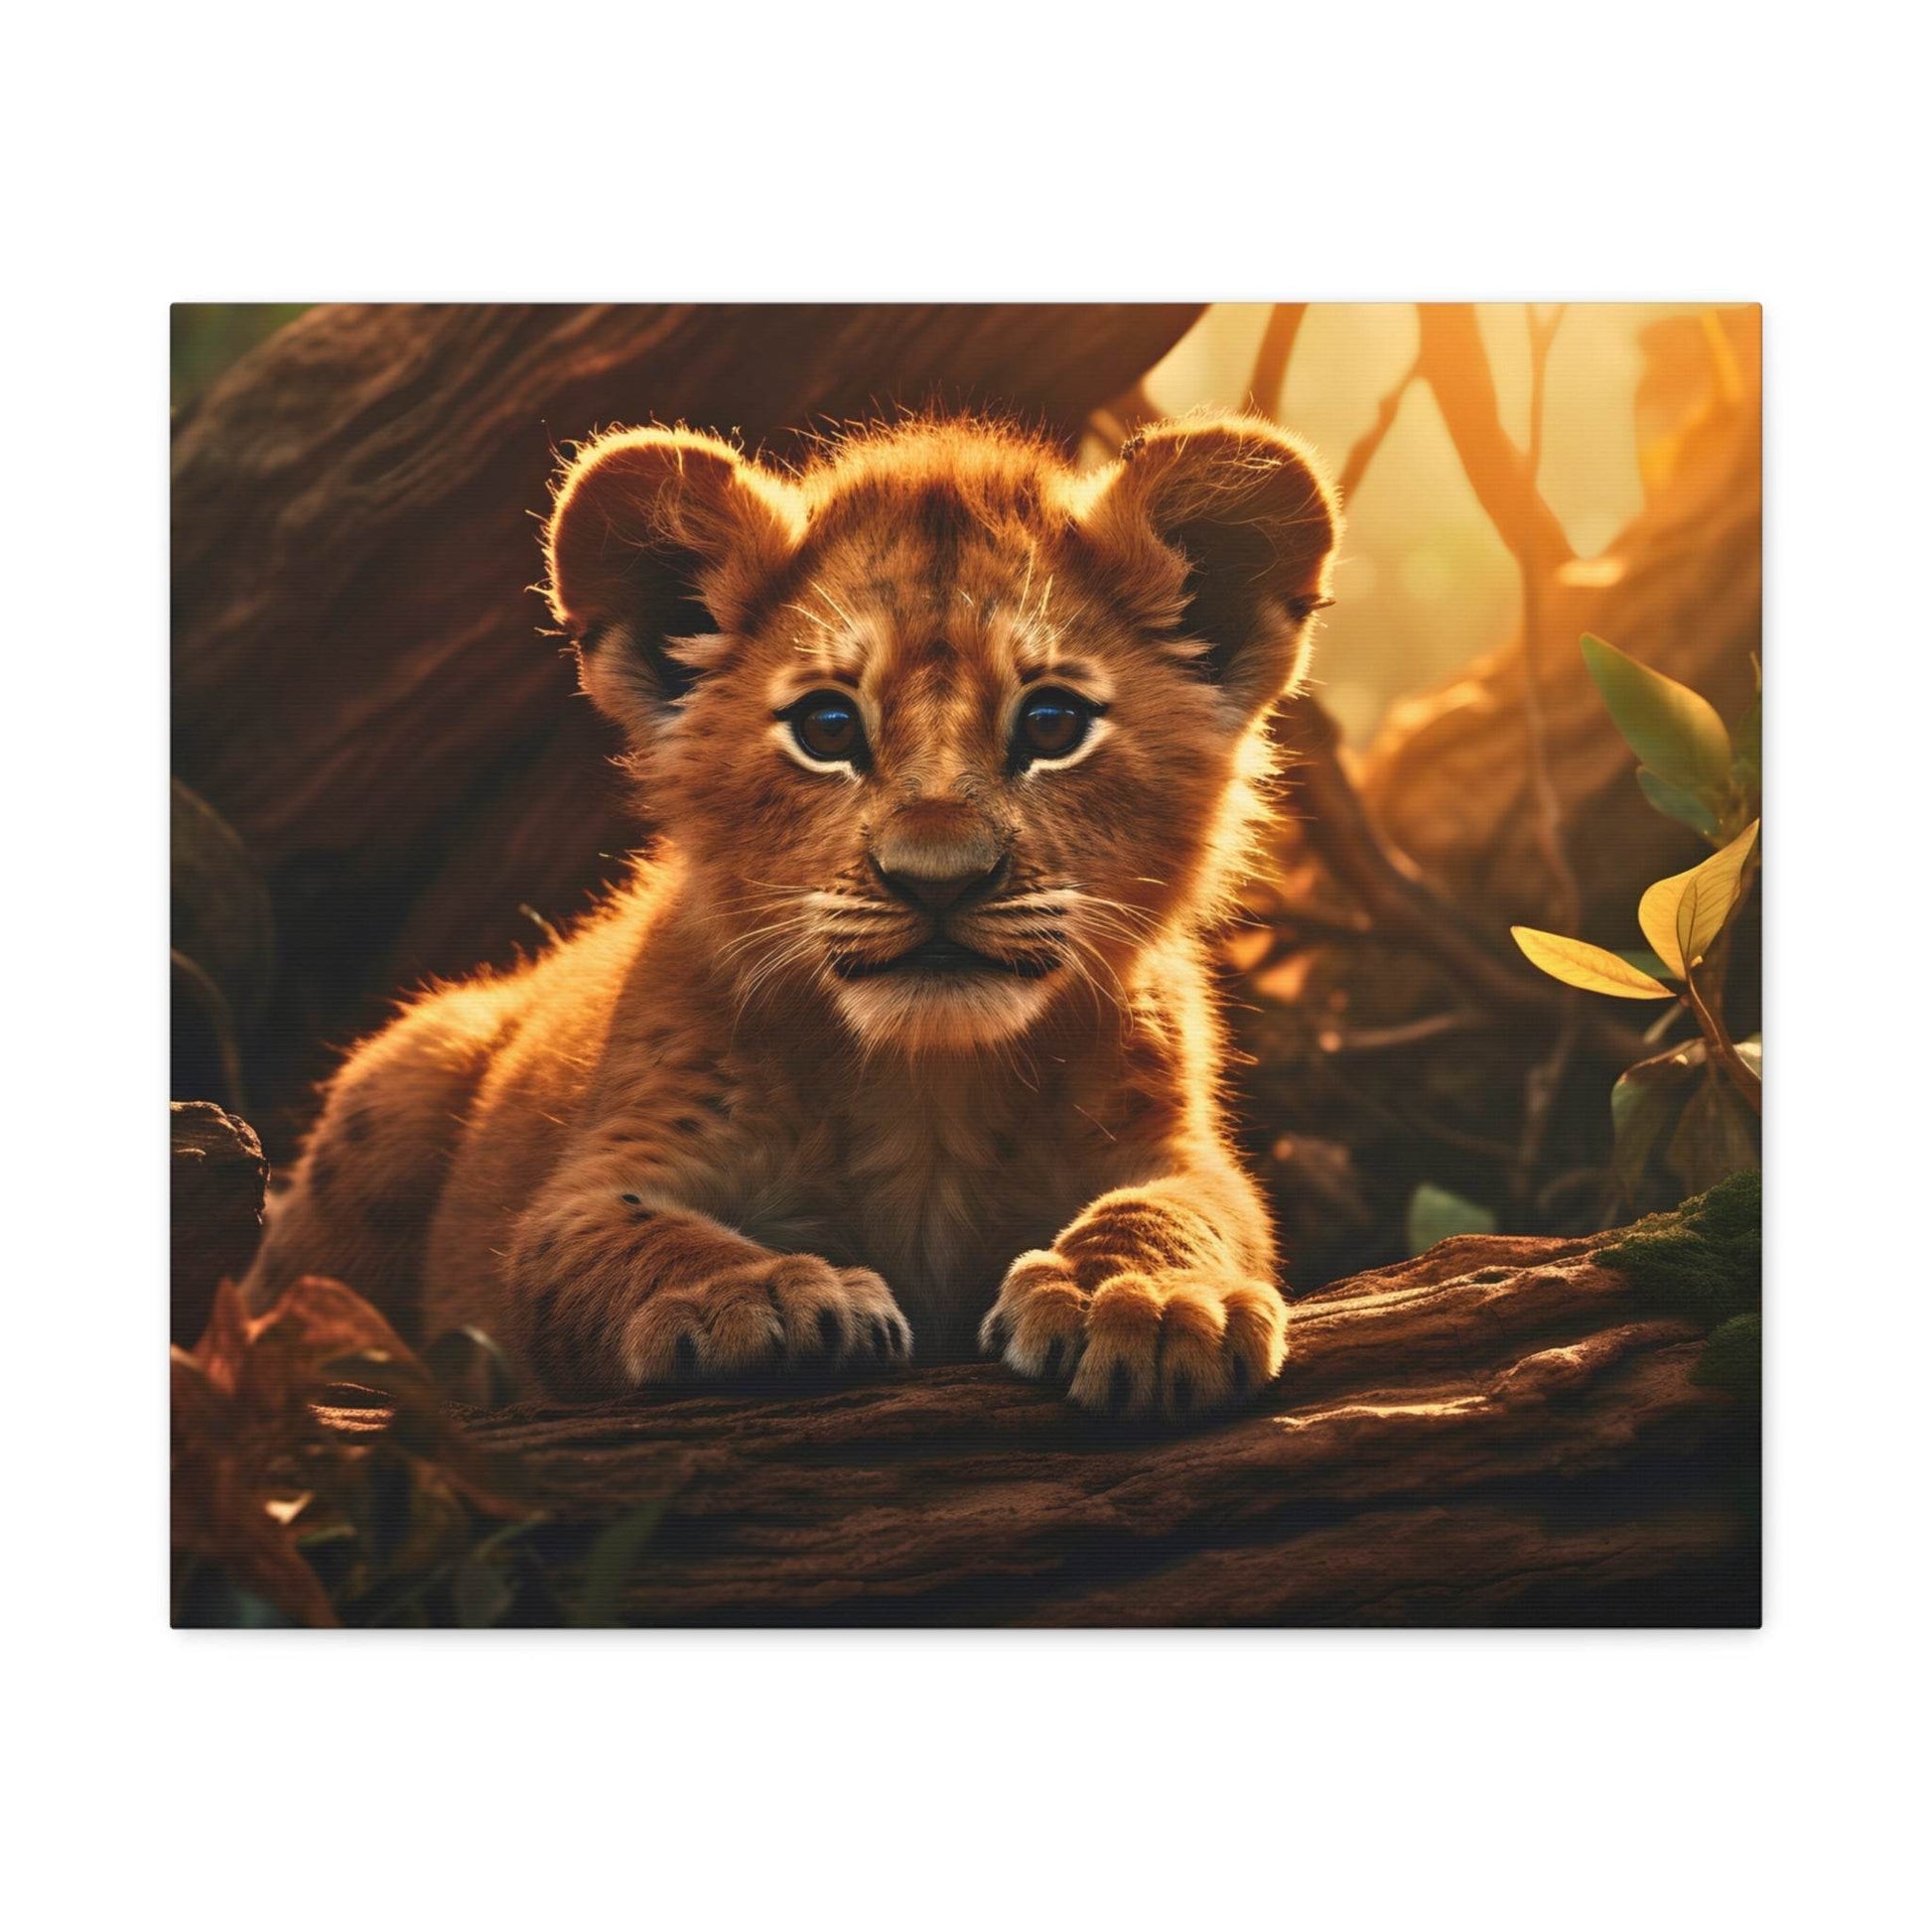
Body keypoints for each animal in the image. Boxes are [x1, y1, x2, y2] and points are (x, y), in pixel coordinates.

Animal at [243, 412, 1341, 1420]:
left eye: (1051, 723)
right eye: (826, 727)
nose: (937, 880)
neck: (928, 1089)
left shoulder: (1176, 1146)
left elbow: (1176, 1207)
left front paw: (1143, 1298)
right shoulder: (595, 1179)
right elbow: (633, 1235)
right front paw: (755, 1298)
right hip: (401, 1076)